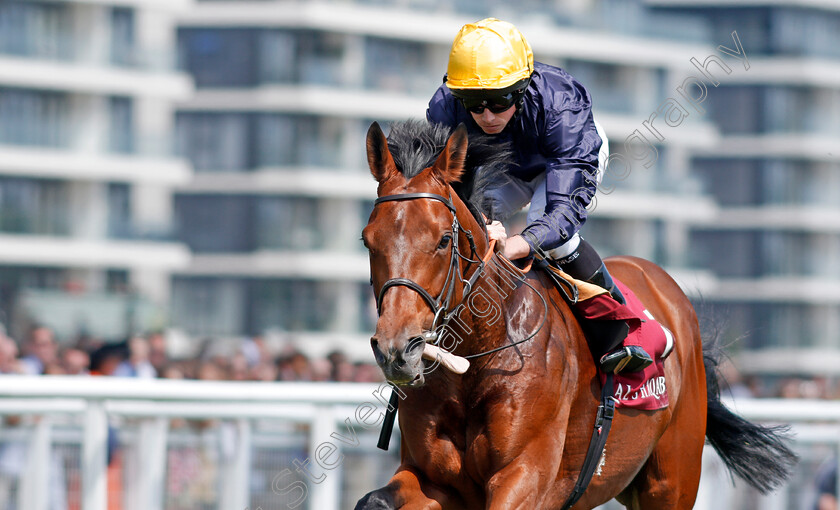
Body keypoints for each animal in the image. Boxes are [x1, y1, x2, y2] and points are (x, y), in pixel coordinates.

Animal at [356, 120, 796, 510]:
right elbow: (372, 500)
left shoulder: (526, 477)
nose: (398, 349)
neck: (479, 356)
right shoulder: (435, 480)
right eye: (367, 239)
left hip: (671, 481)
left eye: (444, 240)